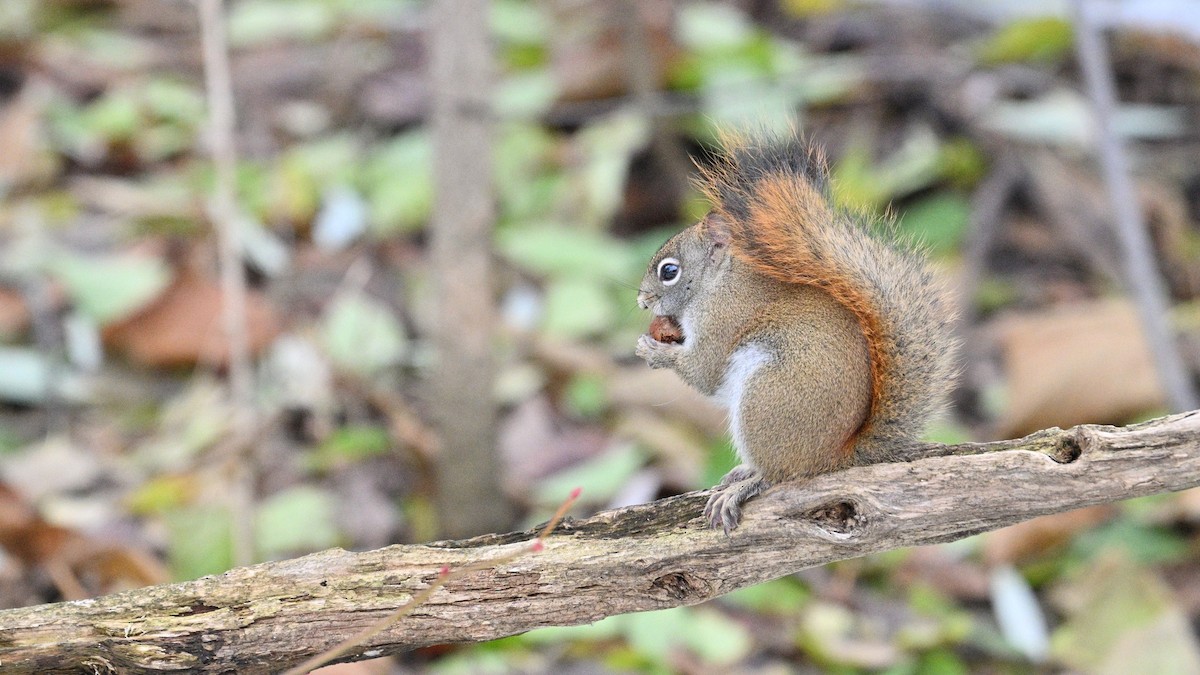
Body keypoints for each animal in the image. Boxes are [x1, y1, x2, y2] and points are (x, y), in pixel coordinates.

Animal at [635, 131, 958, 533]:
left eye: (669, 271)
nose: (641, 301)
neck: (718, 282)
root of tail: (833, 457)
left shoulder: (724, 321)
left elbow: (704, 373)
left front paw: (651, 350)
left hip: (766, 398)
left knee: (780, 474)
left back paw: (744, 485)